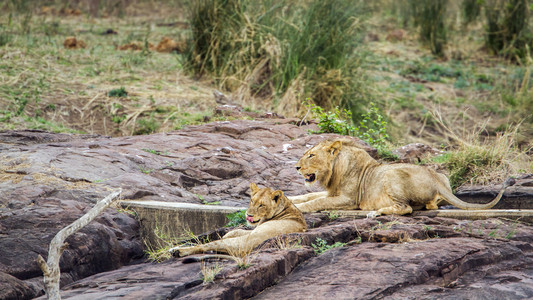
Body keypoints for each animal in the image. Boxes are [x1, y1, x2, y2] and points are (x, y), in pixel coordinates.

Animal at [170, 182, 304, 256]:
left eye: (261, 205)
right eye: (252, 201)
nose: (249, 215)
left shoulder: (254, 233)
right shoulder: (253, 230)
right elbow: (234, 231)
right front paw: (226, 234)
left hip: (241, 243)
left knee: (208, 245)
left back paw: (177, 251)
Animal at [288, 138, 512, 216]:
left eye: (311, 155)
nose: (296, 167)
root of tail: (437, 182)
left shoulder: (349, 200)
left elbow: (315, 202)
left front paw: (297, 208)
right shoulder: (332, 192)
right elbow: (308, 196)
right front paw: (289, 199)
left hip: (391, 173)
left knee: (406, 208)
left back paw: (377, 211)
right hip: (441, 176)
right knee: (428, 206)